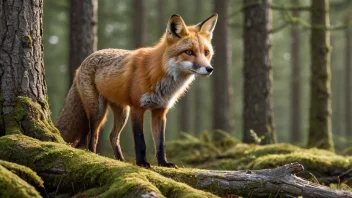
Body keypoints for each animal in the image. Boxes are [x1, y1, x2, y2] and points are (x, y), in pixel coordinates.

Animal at [56, 13, 217, 168]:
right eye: (189, 52)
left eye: (206, 52)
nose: (209, 69)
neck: (158, 74)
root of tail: (82, 64)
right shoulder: (137, 108)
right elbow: (140, 141)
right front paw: (142, 163)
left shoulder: (160, 111)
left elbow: (160, 143)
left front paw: (164, 163)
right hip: (98, 111)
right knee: (92, 136)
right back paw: (96, 156)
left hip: (122, 113)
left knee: (112, 136)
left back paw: (120, 160)